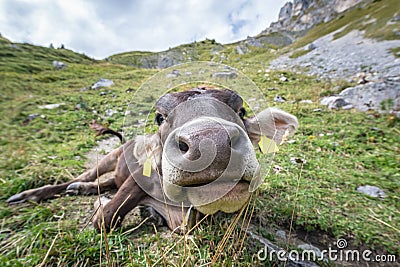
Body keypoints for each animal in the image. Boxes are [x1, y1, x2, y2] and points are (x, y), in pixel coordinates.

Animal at [6, 87, 296, 232]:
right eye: (160, 117)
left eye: (241, 111)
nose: (211, 142)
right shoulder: (136, 181)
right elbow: (105, 219)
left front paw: (151, 213)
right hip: (110, 157)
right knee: (84, 177)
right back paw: (34, 194)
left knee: (106, 182)